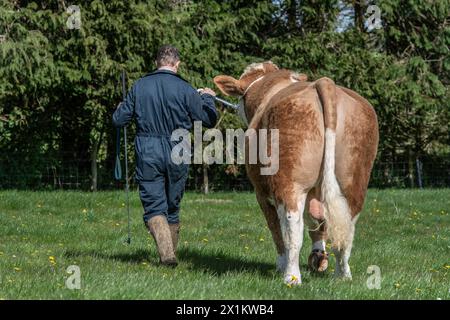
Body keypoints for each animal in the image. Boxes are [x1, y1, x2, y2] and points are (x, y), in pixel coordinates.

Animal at [214, 62, 380, 284]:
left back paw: (291, 276)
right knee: (346, 226)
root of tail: (324, 82)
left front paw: (282, 264)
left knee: (292, 228)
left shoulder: (261, 192)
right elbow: (319, 224)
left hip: (290, 182)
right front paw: (318, 258)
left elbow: (276, 228)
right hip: (354, 181)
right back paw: (342, 274)